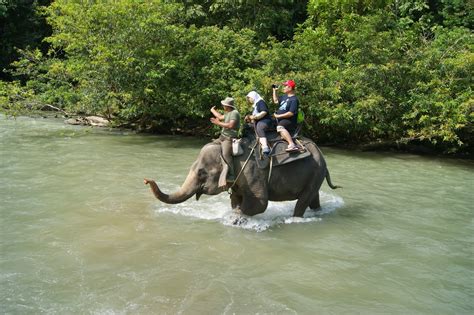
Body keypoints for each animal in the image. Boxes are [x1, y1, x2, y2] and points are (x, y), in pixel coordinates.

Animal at [144, 128, 340, 217]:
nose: (146, 180)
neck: (230, 152)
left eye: (201, 173)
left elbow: (260, 203)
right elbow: (236, 200)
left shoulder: (252, 171)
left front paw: (236, 217)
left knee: (303, 201)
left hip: (316, 171)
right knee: (313, 198)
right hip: (314, 174)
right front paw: (234, 212)